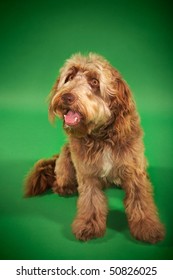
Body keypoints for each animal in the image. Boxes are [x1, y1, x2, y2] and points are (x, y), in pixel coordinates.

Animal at [25, 52, 165, 243]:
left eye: (94, 82)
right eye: (69, 77)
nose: (66, 96)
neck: (101, 137)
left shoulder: (134, 169)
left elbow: (140, 200)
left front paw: (147, 226)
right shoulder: (87, 173)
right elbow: (91, 201)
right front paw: (89, 225)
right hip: (66, 157)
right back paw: (64, 186)